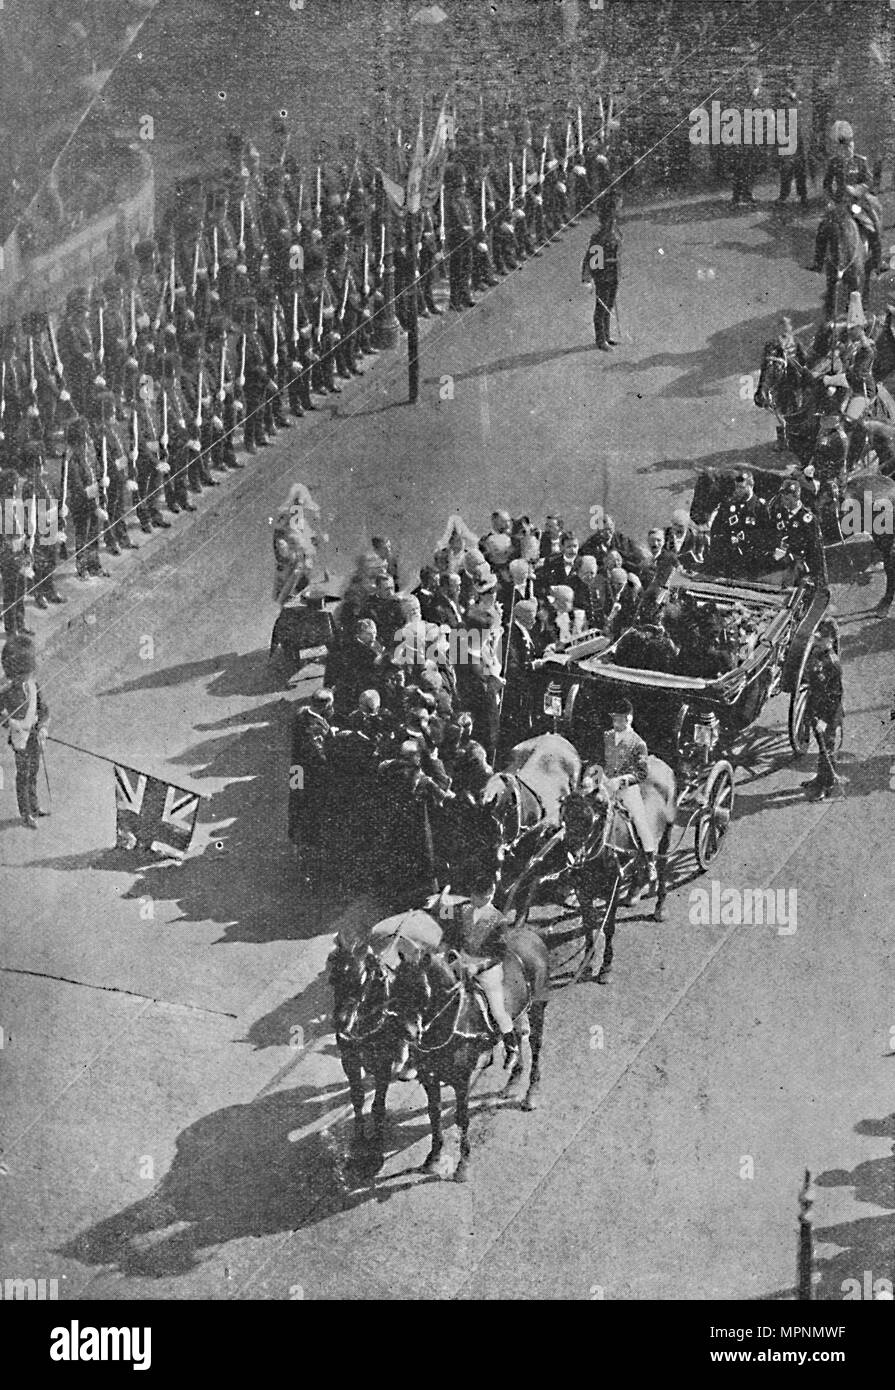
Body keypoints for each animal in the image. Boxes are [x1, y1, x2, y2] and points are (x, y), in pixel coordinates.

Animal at [394, 928, 547, 1178]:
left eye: (420, 989)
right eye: (394, 987)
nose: (406, 1033)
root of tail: (530, 934)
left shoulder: (462, 1080)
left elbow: (462, 1118)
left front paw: (463, 1166)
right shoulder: (429, 1078)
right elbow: (434, 1114)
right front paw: (433, 1158)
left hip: (538, 1008)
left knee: (536, 1047)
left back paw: (531, 1094)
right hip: (516, 1013)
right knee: (515, 1036)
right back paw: (513, 1079)